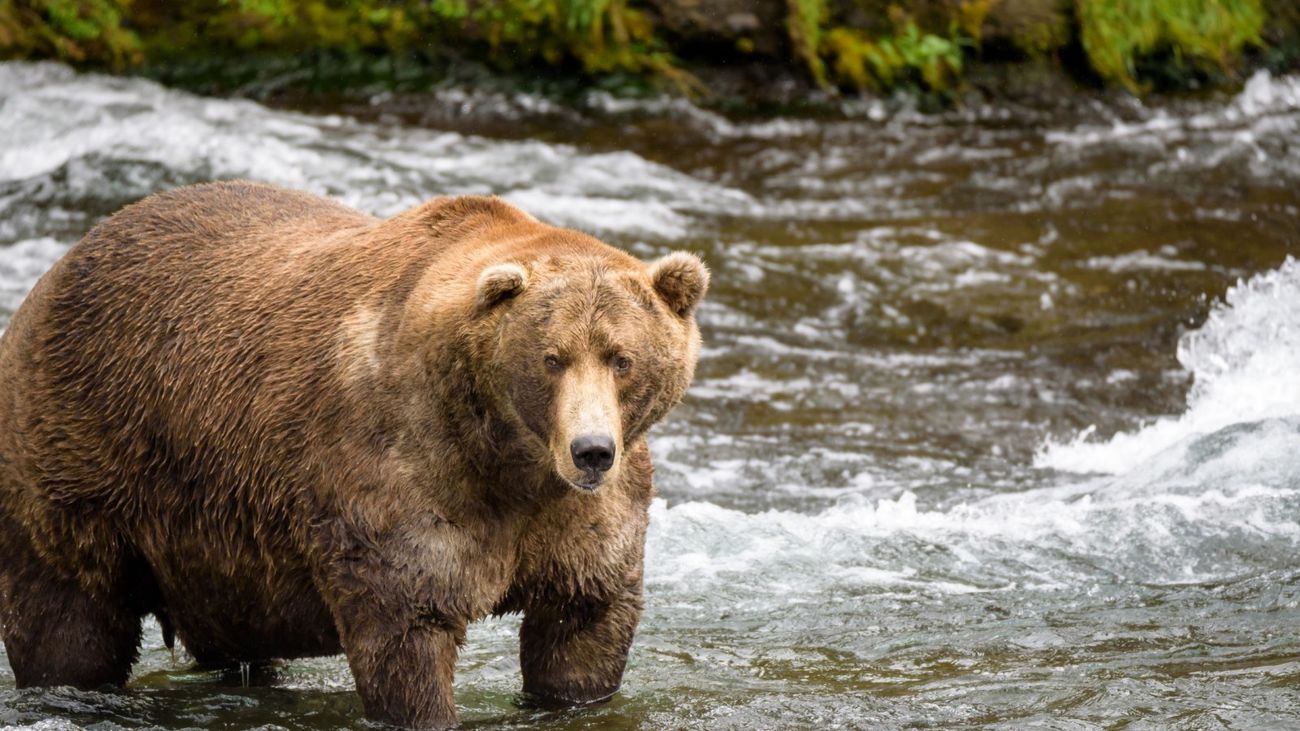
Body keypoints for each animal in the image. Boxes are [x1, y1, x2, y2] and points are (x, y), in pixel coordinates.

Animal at [0, 181, 708, 729]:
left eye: (622, 357)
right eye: (551, 358)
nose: (592, 451)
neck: (510, 460)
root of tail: (56, 271)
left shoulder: (583, 519)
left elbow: (583, 625)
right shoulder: (403, 469)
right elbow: (406, 627)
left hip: (211, 542)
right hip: (81, 455)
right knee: (68, 618)